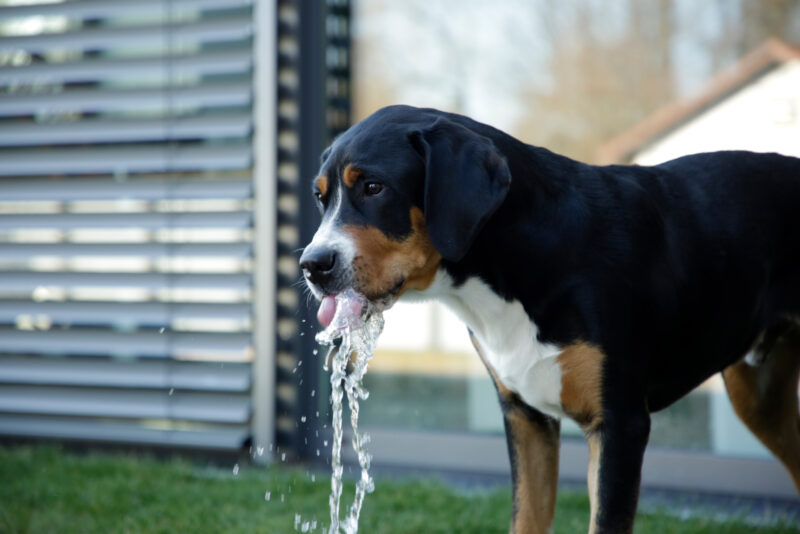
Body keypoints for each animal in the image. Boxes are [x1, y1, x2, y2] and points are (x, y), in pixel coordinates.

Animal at [298, 105, 800, 534]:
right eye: (321, 198)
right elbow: (527, 516)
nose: (312, 264)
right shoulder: (526, 418)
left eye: (373, 187)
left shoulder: (618, 424)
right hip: (758, 397)